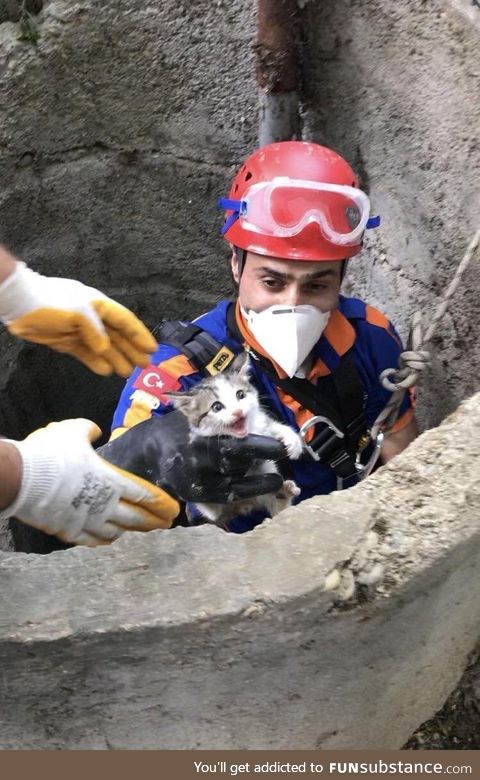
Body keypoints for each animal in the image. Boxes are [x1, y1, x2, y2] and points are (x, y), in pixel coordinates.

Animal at [163, 354, 302, 532]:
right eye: (216, 407)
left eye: (240, 394)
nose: (238, 412)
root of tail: (244, 505)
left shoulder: (261, 425)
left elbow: (272, 426)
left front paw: (293, 441)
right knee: (213, 510)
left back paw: (285, 491)